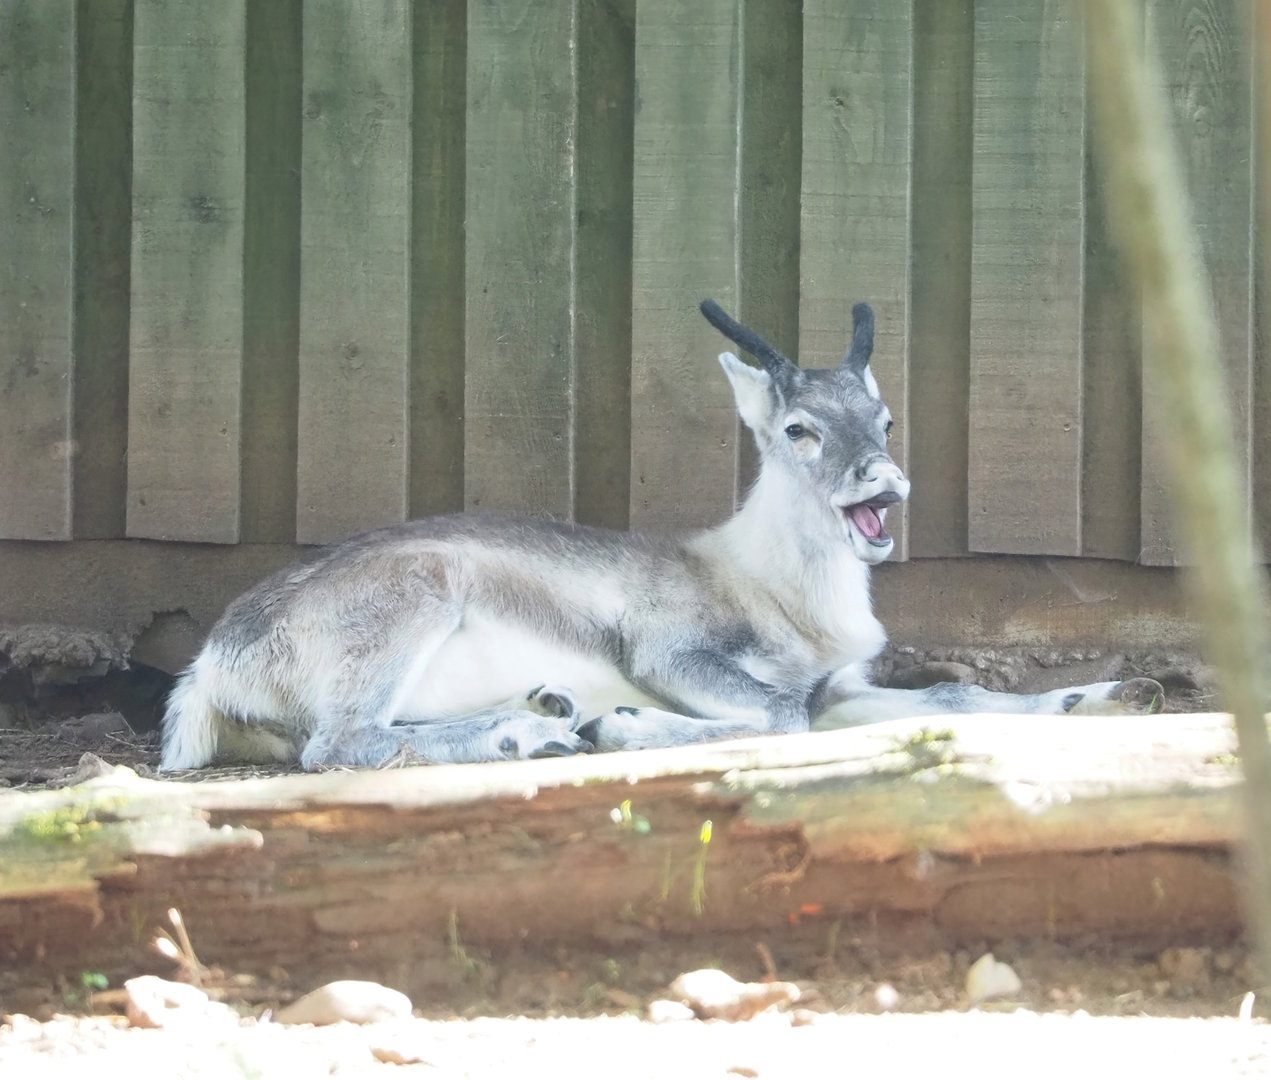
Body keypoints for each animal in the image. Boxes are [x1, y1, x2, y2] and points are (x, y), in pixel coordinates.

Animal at [160, 299, 1161, 771]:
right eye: (798, 427)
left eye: (880, 417)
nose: (883, 482)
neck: (774, 591)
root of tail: (212, 662)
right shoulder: (672, 649)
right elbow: (779, 716)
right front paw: (627, 721)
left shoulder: (840, 684)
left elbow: (946, 696)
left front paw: (1120, 694)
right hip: (414, 600)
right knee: (340, 743)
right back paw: (541, 731)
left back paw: (547, 711)